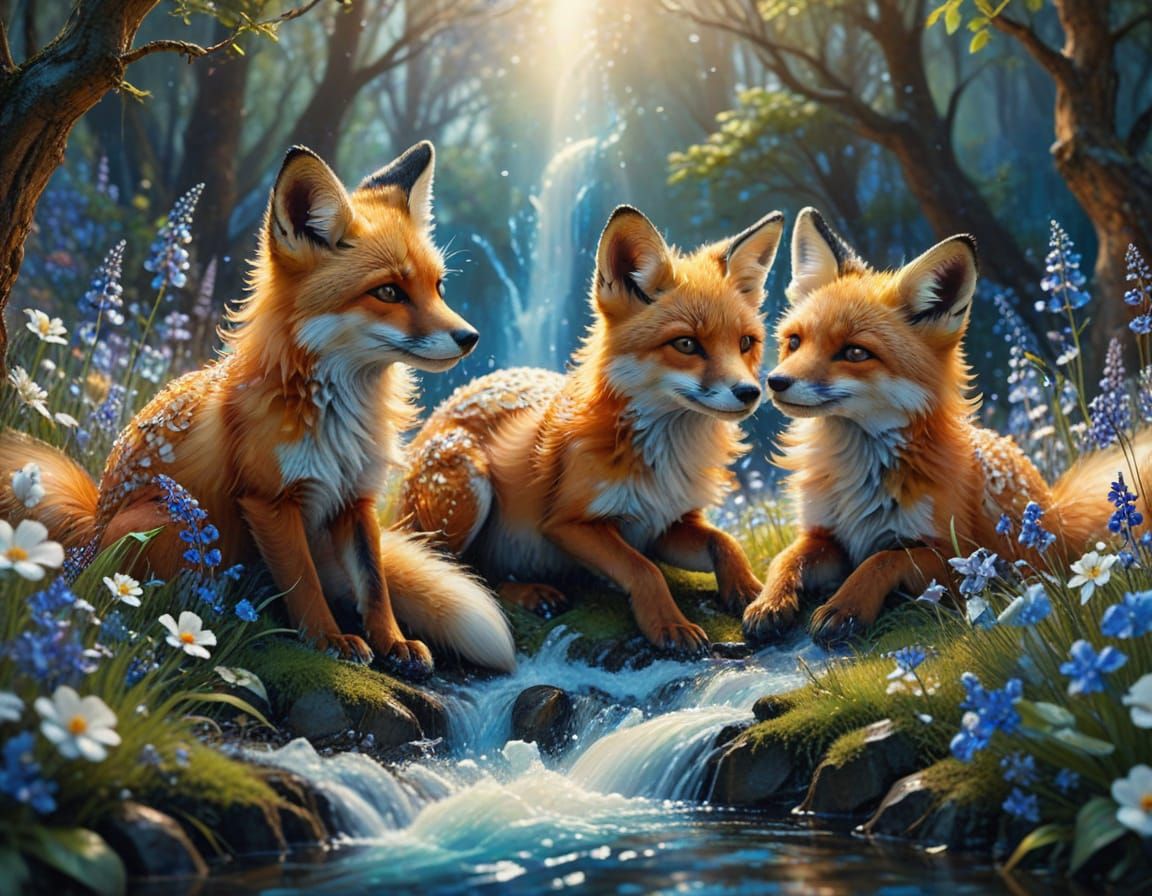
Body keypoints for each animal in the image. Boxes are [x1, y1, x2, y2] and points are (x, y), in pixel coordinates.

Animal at [0, 142, 516, 676]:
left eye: (439, 288)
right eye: (389, 291)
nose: (470, 338)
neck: (338, 419)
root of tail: (90, 527)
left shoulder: (356, 499)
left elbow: (375, 585)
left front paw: (392, 642)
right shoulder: (269, 499)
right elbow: (304, 583)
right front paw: (330, 640)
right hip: (164, 518)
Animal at [399, 205, 784, 656]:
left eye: (745, 343)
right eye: (687, 344)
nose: (750, 392)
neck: (665, 462)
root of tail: (443, 409)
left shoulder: (664, 523)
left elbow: (724, 542)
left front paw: (753, 592)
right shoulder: (569, 524)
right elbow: (643, 570)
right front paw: (670, 624)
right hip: (467, 486)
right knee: (462, 571)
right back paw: (530, 592)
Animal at [742, 207, 1152, 647]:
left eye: (854, 352)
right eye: (795, 342)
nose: (774, 382)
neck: (856, 474)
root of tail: (1055, 505)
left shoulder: (959, 557)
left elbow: (882, 560)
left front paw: (845, 607)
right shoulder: (824, 533)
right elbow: (787, 558)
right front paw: (769, 602)